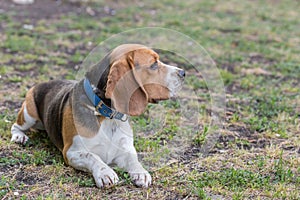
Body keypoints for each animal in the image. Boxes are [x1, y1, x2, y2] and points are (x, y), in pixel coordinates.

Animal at [10, 43, 185, 188]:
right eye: (154, 64)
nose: (183, 73)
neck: (108, 116)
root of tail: (43, 82)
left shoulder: (124, 150)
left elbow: (133, 158)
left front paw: (140, 172)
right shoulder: (71, 152)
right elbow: (92, 156)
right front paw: (105, 172)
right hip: (29, 115)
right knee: (15, 125)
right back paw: (19, 136)